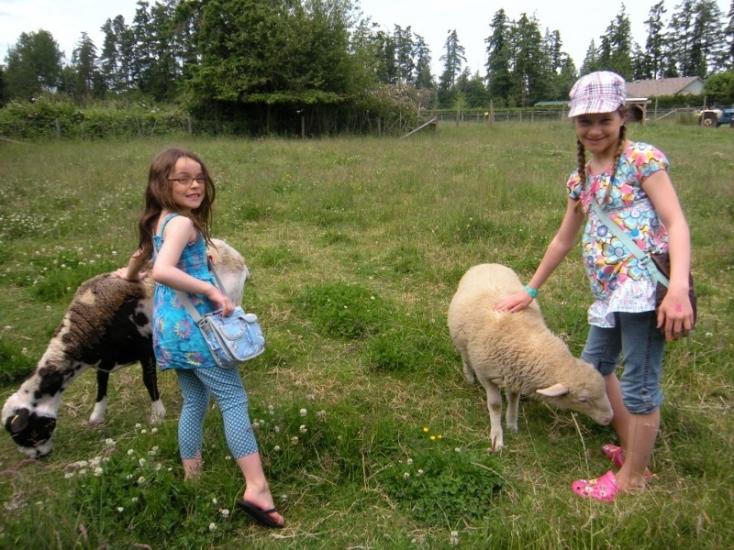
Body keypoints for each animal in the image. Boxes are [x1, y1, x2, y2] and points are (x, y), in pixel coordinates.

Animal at [2, 239, 247, 458]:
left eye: (28, 433)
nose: (38, 456)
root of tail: (229, 250)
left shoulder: (146, 348)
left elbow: (148, 381)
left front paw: (157, 415)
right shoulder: (104, 359)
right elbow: (101, 385)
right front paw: (97, 416)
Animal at [447, 263, 613, 451]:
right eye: (583, 399)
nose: (609, 418)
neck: (524, 341)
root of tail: (487, 264)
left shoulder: (513, 376)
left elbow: (513, 399)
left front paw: (512, 424)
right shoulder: (486, 375)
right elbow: (495, 405)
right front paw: (497, 437)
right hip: (461, 339)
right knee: (465, 357)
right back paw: (468, 376)